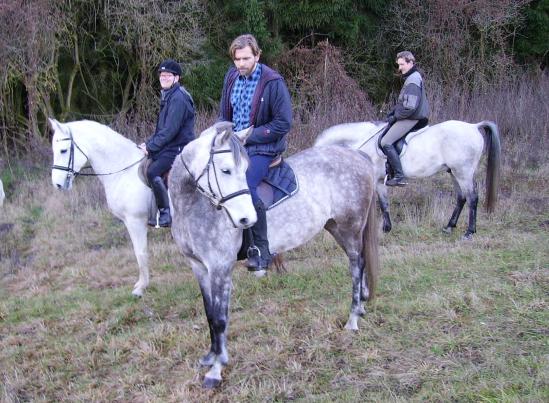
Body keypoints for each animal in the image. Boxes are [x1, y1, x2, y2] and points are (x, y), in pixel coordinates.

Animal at [169, 122, 378, 388]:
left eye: (244, 170)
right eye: (225, 170)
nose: (246, 219)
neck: (193, 207)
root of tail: (357, 155)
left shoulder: (220, 268)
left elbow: (220, 319)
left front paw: (216, 369)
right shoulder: (199, 268)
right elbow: (209, 314)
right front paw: (210, 356)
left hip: (350, 228)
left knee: (356, 265)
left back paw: (352, 319)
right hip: (336, 228)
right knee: (360, 263)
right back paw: (361, 308)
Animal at [312, 120, 500, 240]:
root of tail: (474, 127)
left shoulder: (377, 181)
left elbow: (382, 204)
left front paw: (384, 229)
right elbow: (383, 204)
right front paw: (386, 228)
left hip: (463, 172)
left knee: (472, 198)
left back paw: (469, 232)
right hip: (453, 172)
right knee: (461, 198)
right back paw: (449, 227)